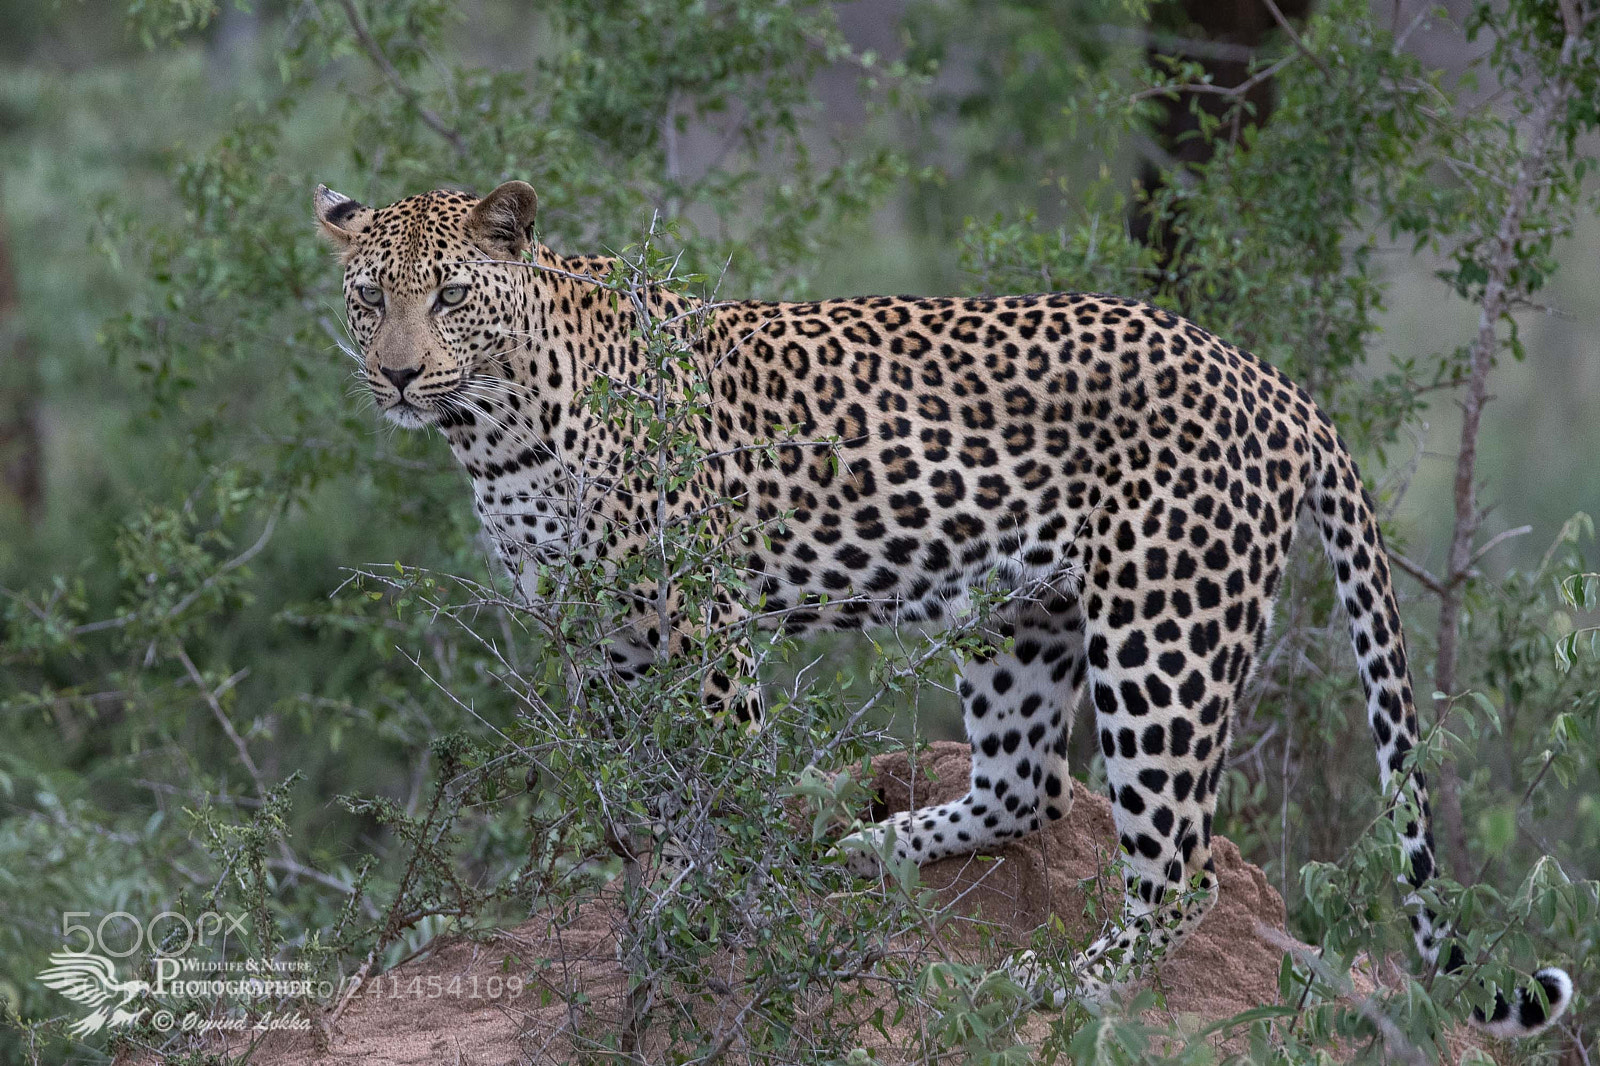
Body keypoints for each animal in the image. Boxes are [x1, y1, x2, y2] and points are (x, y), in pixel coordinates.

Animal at [313, 179, 1572, 1037]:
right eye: (369, 297)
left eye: (451, 295)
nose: (396, 373)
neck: (496, 423)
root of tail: (1276, 385)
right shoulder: (591, 628)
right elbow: (640, 787)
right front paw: (650, 898)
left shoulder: (696, 619)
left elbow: (716, 781)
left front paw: (715, 907)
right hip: (1022, 616)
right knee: (1027, 787)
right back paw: (870, 845)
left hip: (1162, 633)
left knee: (1179, 864)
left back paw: (1054, 986)